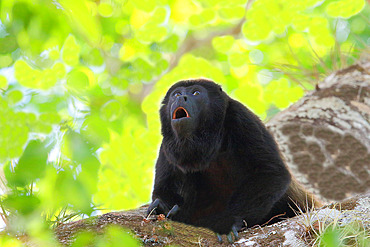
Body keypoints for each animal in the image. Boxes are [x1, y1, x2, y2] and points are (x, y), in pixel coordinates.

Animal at [146, 78, 320, 241]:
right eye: (176, 94)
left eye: (196, 93)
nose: (182, 98)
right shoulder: (166, 146)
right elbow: (163, 187)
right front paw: (163, 208)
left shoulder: (241, 116)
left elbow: (271, 172)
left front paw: (226, 223)